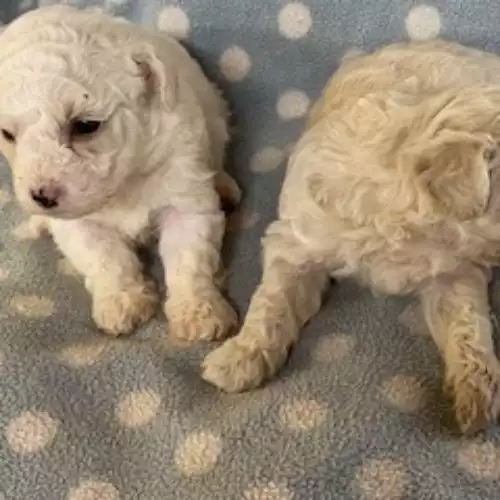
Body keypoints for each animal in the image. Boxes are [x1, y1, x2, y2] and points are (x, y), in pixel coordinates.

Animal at [0, 4, 240, 340]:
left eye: (86, 126)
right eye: (7, 134)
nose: (42, 197)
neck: (123, 184)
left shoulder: (185, 195)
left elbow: (189, 258)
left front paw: (199, 313)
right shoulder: (78, 225)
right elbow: (106, 257)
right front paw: (122, 302)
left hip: (215, 113)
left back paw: (226, 188)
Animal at [202, 40, 500, 434]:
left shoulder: (455, 269)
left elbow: (467, 323)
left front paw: (476, 390)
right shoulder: (295, 243)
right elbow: (273, 303)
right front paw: (241, 357)